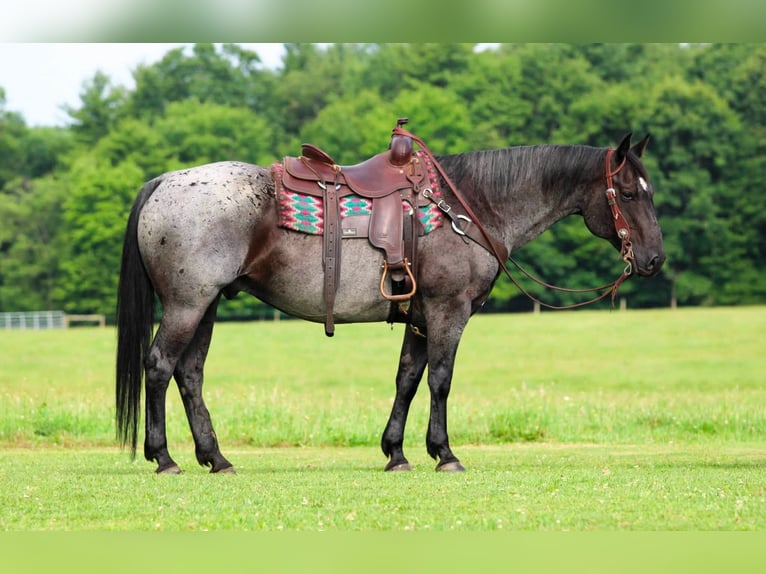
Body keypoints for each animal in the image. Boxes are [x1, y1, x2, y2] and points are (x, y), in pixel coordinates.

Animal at [115, 130, 665, 474]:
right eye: (627, 193)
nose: (655, 259)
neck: (466, 208)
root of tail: (163, 182)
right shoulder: (447, 311)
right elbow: (440, 380)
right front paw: (445, 453)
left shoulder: (418, 317)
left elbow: (408, 378)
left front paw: (396, 452)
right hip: (188, 305)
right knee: (160, 366)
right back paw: (164, 458)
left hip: (206, 306)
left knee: (189, 375)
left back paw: (216, 457)